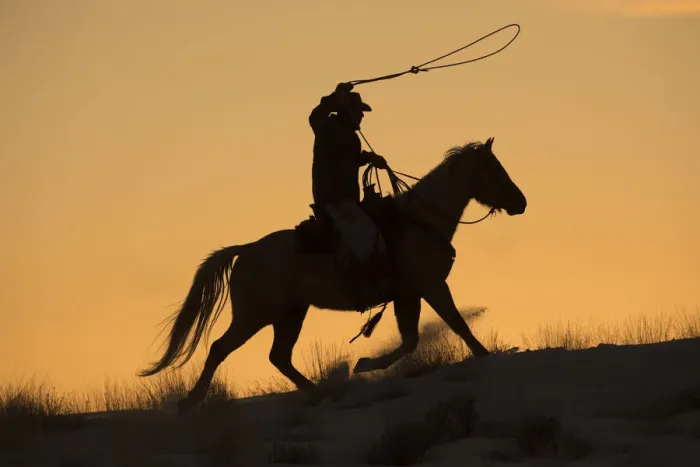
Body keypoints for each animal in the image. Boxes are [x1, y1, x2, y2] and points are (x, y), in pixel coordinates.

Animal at [139, 137, 527, 414]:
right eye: (495, 170)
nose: (521, 203)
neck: (419, 220)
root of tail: (246, 250)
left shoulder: (409, 294)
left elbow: (412, 339)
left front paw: (366, 364)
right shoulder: (430, 286)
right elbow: (453, 325)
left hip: (290, 313)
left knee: (279, 356)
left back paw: (318, 391)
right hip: (255, 315)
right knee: (221, 348)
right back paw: (191, 401)